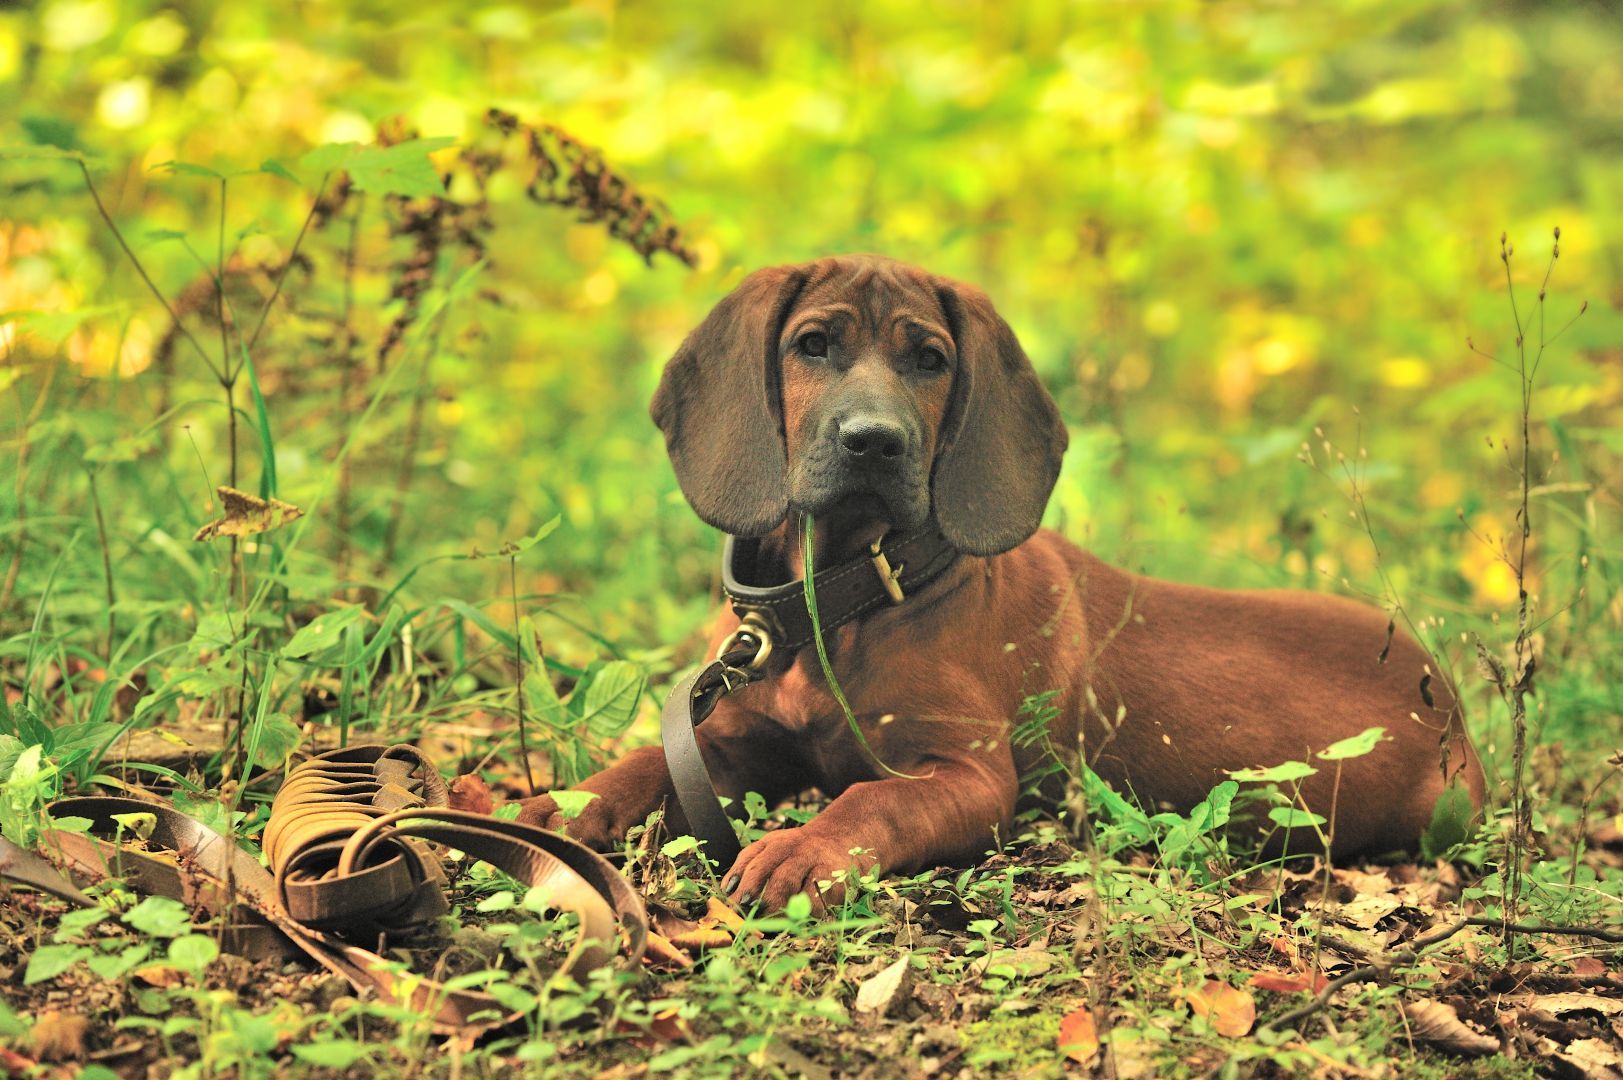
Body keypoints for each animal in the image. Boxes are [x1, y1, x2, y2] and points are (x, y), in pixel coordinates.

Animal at [518, 255, 1485, 911]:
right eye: (812, 346)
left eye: (930, 360)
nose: (874, 442)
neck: (845, 603)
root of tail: (1445, 695)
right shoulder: (734, 744)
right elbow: (645, 761)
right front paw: (558, 807)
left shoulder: (970, 777)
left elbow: (870, 801)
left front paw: (803, 850)